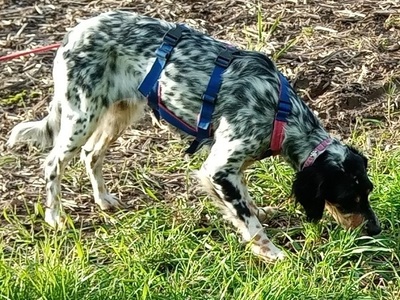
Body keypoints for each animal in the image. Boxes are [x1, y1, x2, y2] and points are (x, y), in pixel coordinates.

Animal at [7, 11, 382, 260]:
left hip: (119, 112)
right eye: (348, 197)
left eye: (368, 191)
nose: (376, 230)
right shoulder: (219, 168)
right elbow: (248, 221)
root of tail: (73, 32)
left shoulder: (232, 167)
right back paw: (55, 216)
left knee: (91, 154)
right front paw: (270, 251)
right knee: (53, 163)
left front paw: (255, 213)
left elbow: (245, 203)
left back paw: (104, 200)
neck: (281, 113)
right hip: (81, 116)